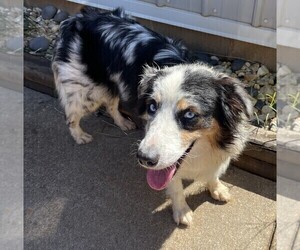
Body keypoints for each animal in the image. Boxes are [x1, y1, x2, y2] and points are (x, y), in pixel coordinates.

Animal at [51, 7, 188, 144]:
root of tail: (73, 21)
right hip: (88, 93)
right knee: (71, 116)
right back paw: (80, 136)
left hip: (112, 84)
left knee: (110, 107)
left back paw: (123, 122)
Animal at [137, 63, 252, 226]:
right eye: (152, 106)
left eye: (189, 114)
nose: (144, 158)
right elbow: (176, 188)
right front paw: (182, 212)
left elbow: (213, 173)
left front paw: (217, 189)